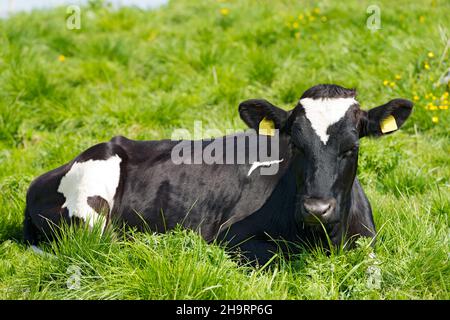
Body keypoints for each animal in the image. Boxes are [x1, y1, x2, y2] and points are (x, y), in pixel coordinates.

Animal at [23, 84, 412, 264]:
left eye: (352, 147)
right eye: (296, 144)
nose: (317, 208)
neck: (325, 238)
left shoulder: (369, 242)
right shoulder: (230, 238)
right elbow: (275, 255)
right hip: (92, 200)